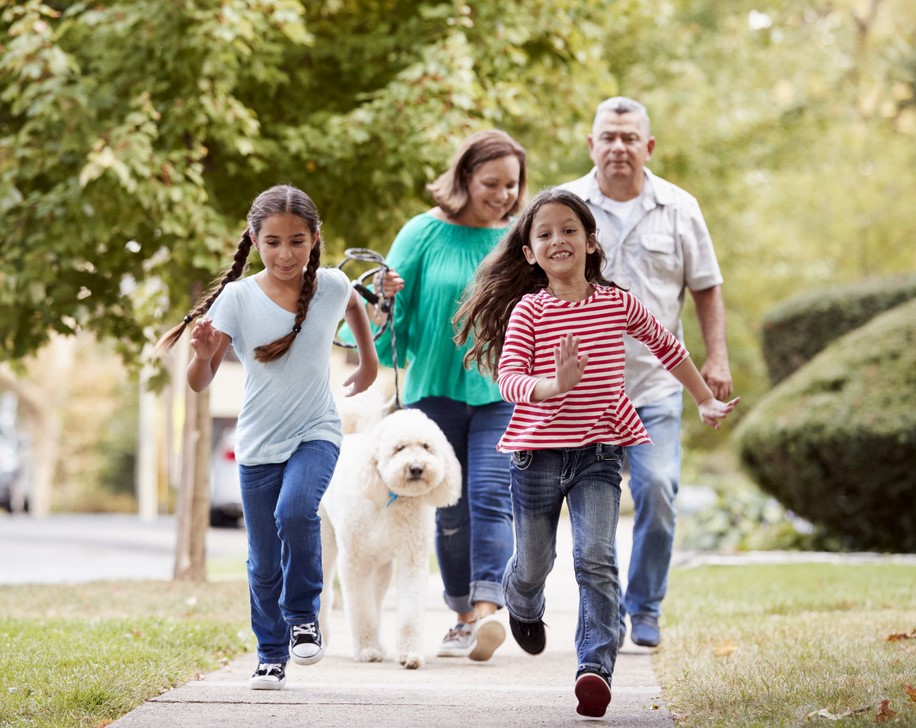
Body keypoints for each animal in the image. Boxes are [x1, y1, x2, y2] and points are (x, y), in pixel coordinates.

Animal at [318, 406, 462, 668]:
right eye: (399, 448)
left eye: (426, 446)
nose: (416, 468)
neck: (392, 497)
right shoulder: (354, 562)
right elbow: (361, 610)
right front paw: (367, 650)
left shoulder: (412, 559)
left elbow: (409, 613)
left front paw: (409, 654)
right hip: (325, 540)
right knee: (324, 591)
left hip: (381, 566)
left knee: (376, 596)